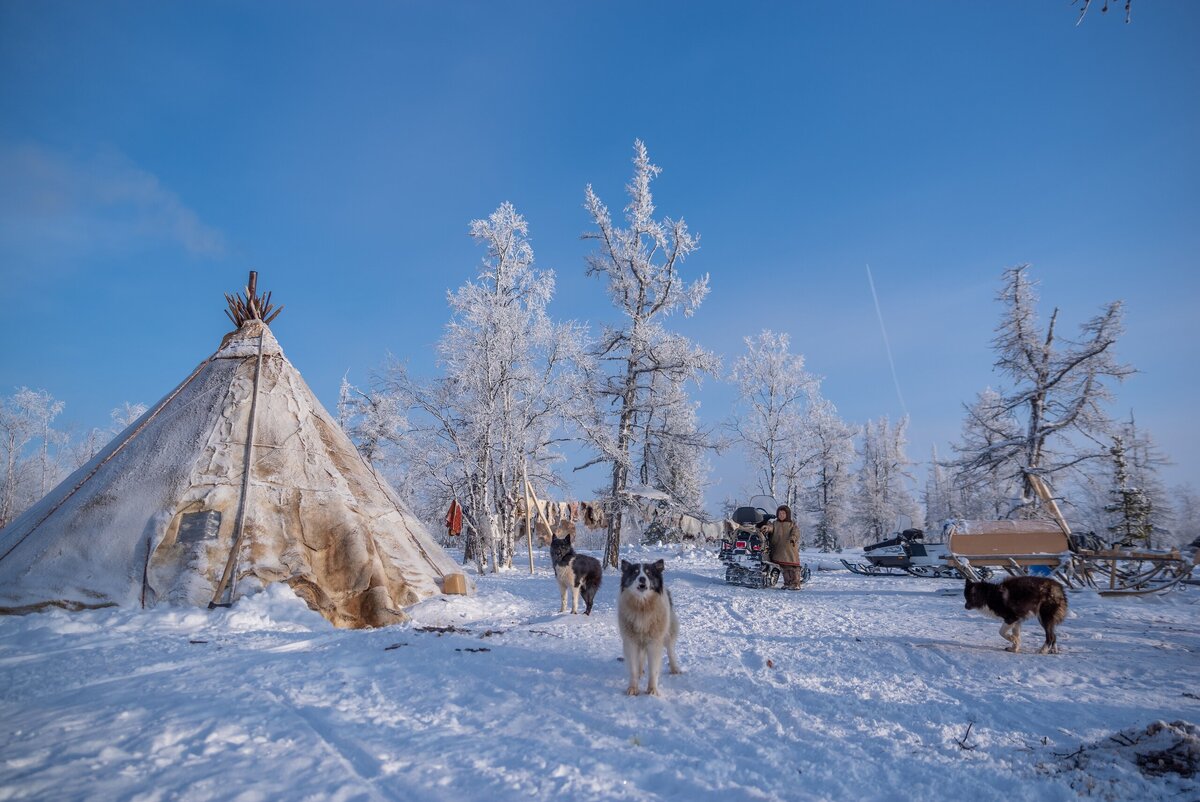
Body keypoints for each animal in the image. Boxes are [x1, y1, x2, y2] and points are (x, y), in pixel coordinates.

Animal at [624, 557, 681, 696]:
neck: (642, 606)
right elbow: (633, 668)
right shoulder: (631, 642)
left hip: (669, 632)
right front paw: (633, 688)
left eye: (648, 573)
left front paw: (652, 690)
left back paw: (675, 668)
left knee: (671, 650)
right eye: (635, 572)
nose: (642, 578)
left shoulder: (654, 642)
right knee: (641, 657)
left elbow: (654, 669)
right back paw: (640, 672)